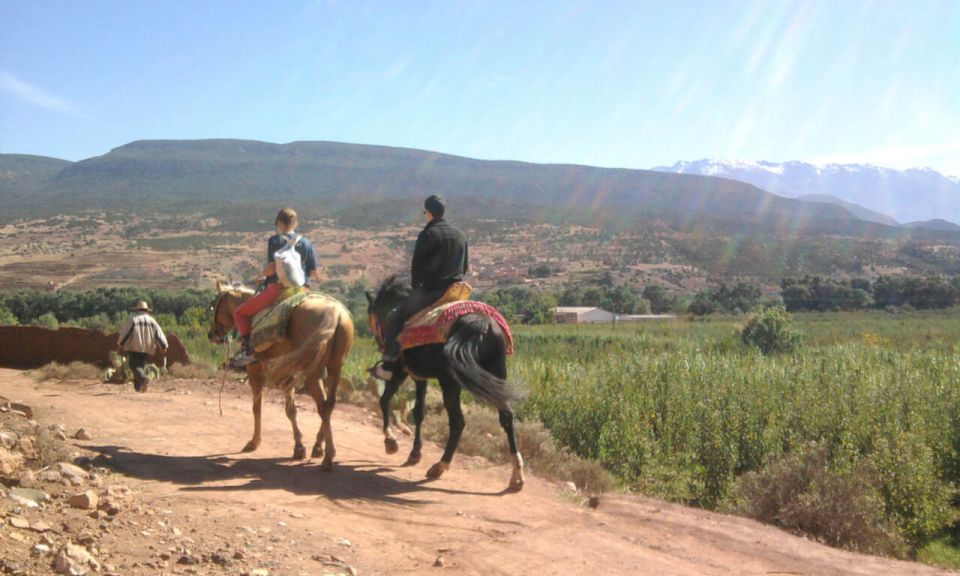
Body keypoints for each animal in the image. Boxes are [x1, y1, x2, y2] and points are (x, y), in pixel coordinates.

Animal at [208, 282, 354, 470]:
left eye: (215, 305)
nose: (211, 334)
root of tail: (336, 314)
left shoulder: (255, 372)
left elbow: (257, 408)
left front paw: (254, 442)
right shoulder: (288, 373)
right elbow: (291, 410)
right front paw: (299, 448)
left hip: (313, 371)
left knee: (323, 406)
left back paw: (328, 457)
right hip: (335, 367)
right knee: (329, 404)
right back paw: (319, 448)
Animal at [364, 276, 524, 490]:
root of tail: (480, 325)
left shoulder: (401, 372)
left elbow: (384, 400)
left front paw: (391, 442)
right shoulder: (419, 377)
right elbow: (419, 412)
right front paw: (414, 453)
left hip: (450, 382)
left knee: (458, 422)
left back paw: (439, 466)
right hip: (497, 374)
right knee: (506, 417)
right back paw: (517, 475)